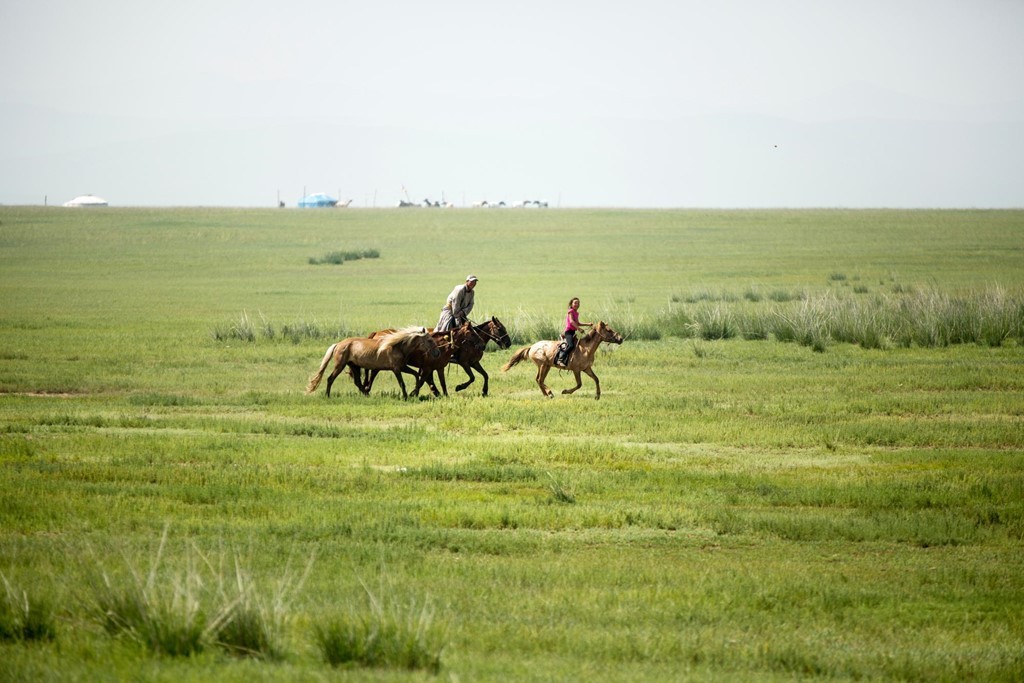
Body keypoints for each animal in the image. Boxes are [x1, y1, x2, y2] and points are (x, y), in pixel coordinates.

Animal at [301, 327, 434, 401]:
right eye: (429, 340)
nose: (436, 353)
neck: (397, 346)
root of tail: (338, 344)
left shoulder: (402, 367)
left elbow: (416, 374)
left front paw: (414, 393)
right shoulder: (396, 369)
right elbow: (402, 383)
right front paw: (406, 397)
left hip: (354, 366)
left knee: (357, 382)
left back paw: (366, 394)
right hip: (340, 365)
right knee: (330, 379)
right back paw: (328, 396)